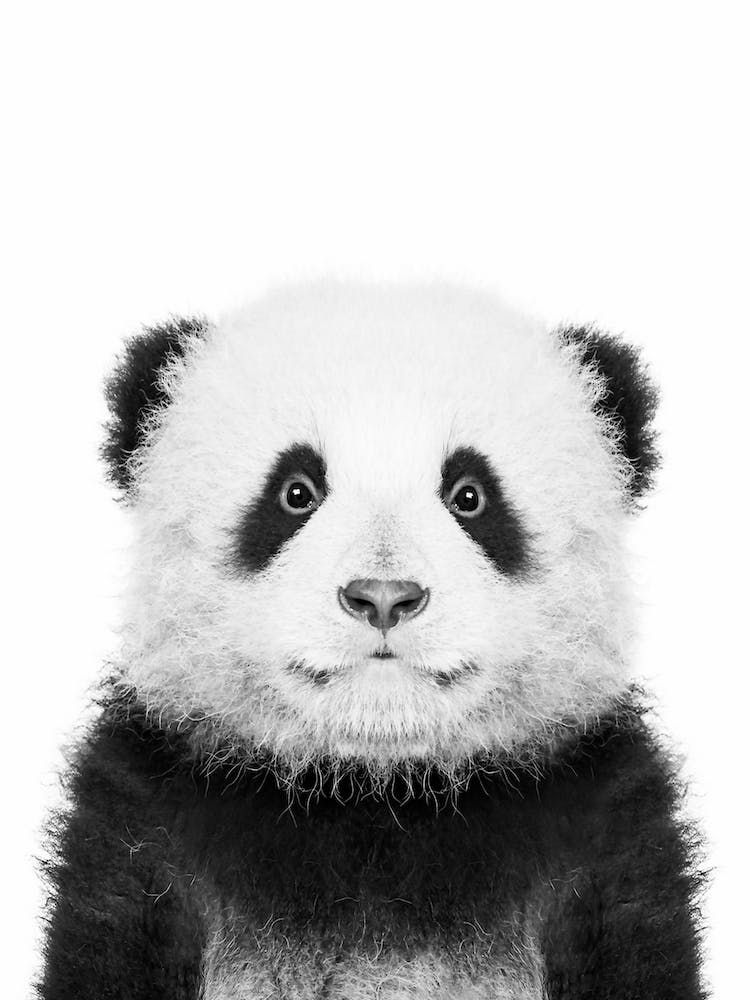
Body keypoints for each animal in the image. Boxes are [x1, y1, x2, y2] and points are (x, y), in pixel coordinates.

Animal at [39, 284, 704, 1000]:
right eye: (295, 492)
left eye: (470, 495)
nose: (383, 596)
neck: (375, 791)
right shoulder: (146, 829)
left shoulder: (603, 834)